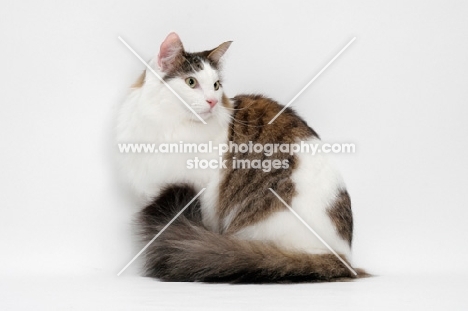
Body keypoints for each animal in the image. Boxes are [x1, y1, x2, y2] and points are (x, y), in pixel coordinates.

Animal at [116, 33, 366, 284]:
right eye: (191, 82)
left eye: (216, 86)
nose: (212, 102)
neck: (171, 126)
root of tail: (342, 257)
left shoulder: (201, 192)